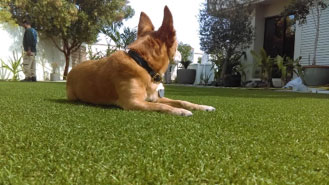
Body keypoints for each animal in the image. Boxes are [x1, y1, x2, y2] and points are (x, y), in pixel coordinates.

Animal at [66, 5, 215, 115]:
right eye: (177, 45)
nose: (181, 53)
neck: (143, 63)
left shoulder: (155, 98)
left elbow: (181, 100)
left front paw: (202, 106)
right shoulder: (134, 102)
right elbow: (162, 106)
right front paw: (180, 111)